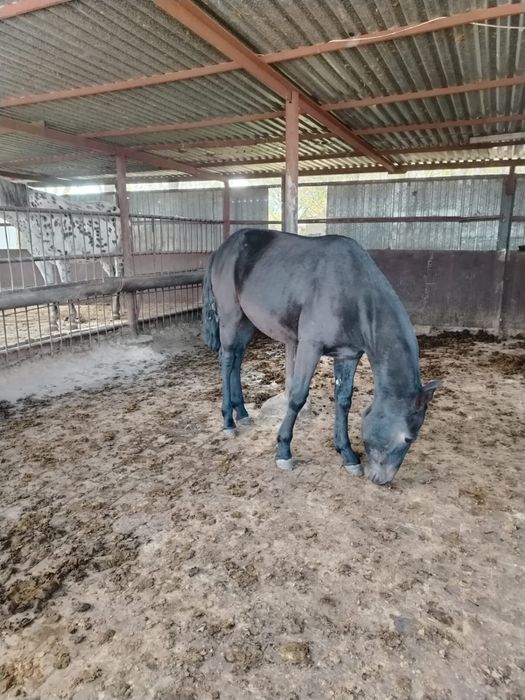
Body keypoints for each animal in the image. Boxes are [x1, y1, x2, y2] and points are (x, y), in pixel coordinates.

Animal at [0, 176, 122, 330]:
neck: (36, 217)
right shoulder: (42, 263)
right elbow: (50, 288)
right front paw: (53, 323)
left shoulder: (62, 259)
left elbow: (66, 286)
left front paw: (72, 321)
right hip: (104, 257)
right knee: (113, 277)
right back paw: (114, 312)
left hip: (118, 254)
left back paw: (116, 314)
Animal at [202, 228, 441, 486]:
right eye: (408, 438)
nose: (381, 479)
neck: (352, 292)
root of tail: (222, 249)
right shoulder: (310, 347)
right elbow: (297, 396)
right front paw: (283, 450)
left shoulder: (348, 355)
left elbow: (343, 401)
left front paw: (347, 454)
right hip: (230, 317)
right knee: (227, 360)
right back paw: (228, 421)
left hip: (247, 323)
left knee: (236, 360)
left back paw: (242, 412)